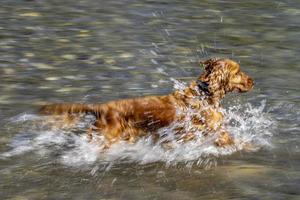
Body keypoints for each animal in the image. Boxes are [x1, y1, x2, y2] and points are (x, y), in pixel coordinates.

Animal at [39, 57, 254, 148]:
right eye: (238, 72)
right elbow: (233, 140)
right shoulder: (213, 130)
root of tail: (102, 108)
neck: (204, 94)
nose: (253, 81)